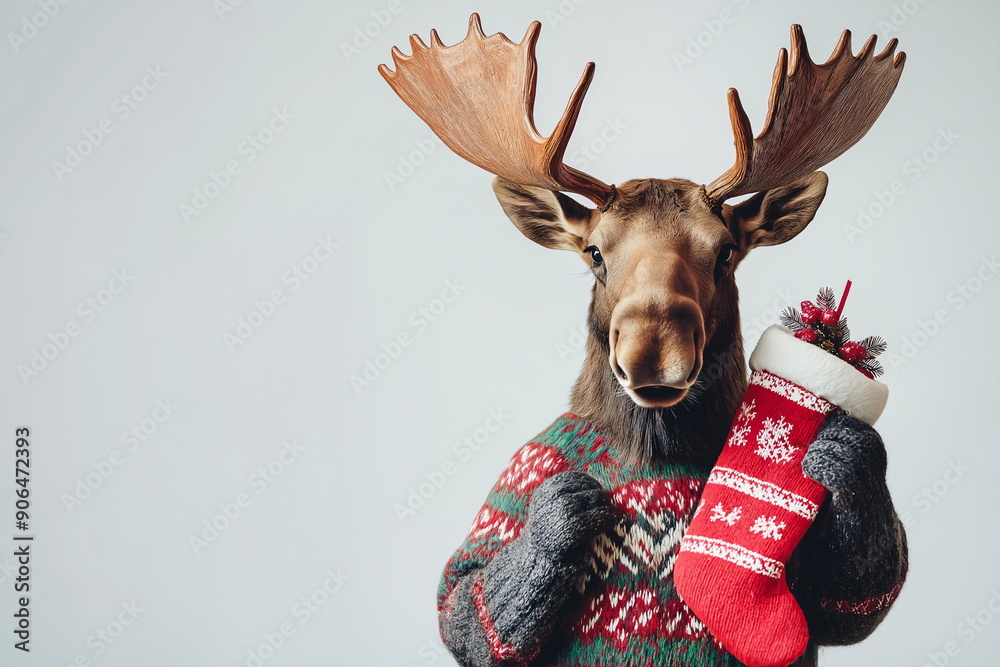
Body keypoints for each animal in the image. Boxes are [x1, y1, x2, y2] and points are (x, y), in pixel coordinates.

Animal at [378, 15, 912, 667]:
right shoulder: (520, 470)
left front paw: (847, 453)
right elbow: (461, 603)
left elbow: (848, 605)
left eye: (725, 251)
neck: (658, 451)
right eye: (594, 252)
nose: (654, 352)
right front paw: (560, 512)